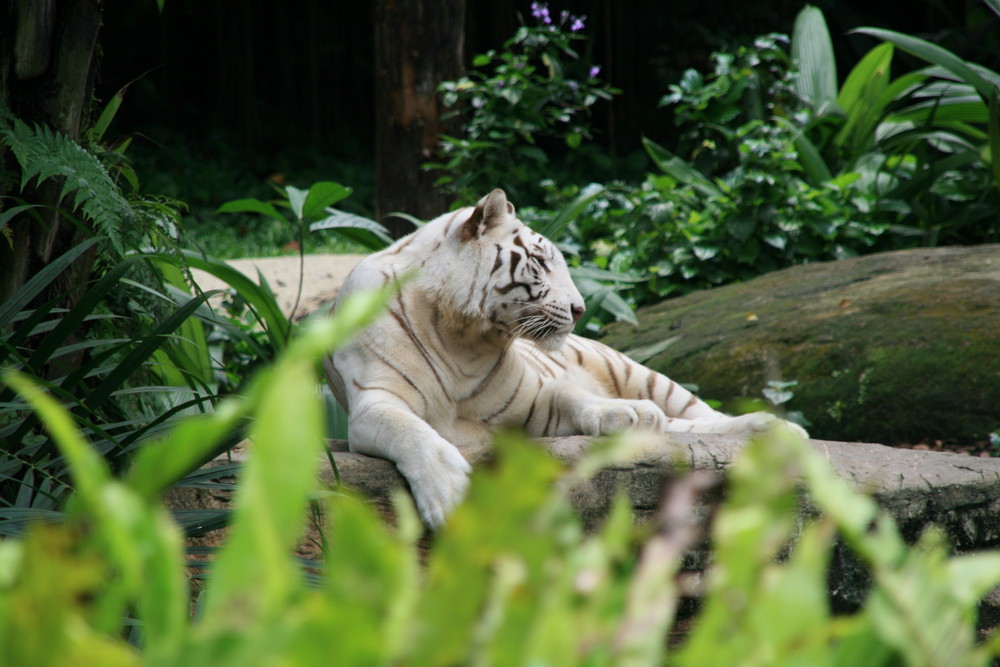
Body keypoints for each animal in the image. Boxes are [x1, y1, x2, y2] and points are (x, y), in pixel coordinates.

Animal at [324, 188, 808, 528]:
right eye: (540, 262)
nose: (581, 309)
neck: (460, 338)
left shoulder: (532, 403)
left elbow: (572, 396)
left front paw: (626, 414)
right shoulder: (371, 406)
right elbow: (411, 431)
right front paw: (448, 493)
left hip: (644, 373)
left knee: (703, 416)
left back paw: (776, 428)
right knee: (684, 426)